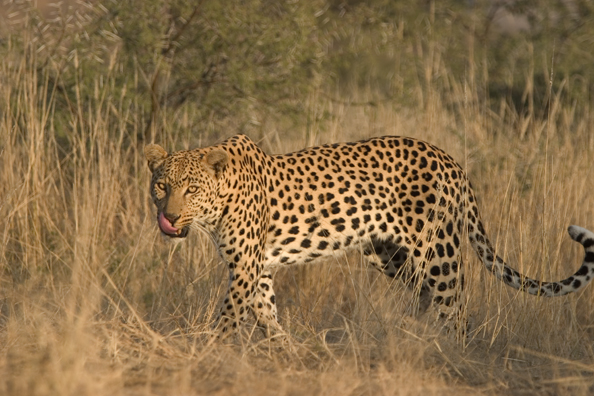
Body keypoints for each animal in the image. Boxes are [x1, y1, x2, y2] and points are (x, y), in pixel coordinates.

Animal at [142, 135, 592, 338]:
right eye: (162, 186)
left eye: (191, 189)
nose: (170, 217)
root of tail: (451, 160)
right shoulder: (257, 268)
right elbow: (265, 313)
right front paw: (286, 349)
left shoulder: (246, 266)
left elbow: (229, 316)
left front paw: (206, 352)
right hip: (390, 255)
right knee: (428, 297)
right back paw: (416, 338)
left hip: (439, 251)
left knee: (456, 306)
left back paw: (451, 354)